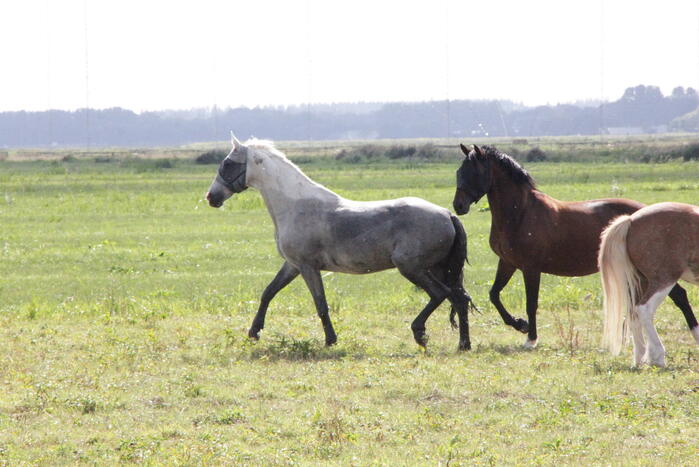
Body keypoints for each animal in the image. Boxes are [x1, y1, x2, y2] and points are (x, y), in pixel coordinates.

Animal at [206, 133, 475, 350]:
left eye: (227, 163)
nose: (211, 197)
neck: (295, 206)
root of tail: (447, 214)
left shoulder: (307, 267)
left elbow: (321, 304)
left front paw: (330, 340)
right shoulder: (292, 265)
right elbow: (268, 293)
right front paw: (254, 332)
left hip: (412, 267)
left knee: (440, 295)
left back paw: (420, 333)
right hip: (438, 268)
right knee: (459, 299)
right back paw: (463, 344)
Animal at [452, 144, 698, 348]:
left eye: (474, 172)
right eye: (459, 172)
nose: (458, 205)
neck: (520, 213)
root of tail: (642, 213)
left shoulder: (531, 268)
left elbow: (531, 303)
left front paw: (531, 338)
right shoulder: (508, 263)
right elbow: (494, 294)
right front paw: (519, 324)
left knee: (677, 296)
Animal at [600, 202, 699, 366]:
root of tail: (631, 220)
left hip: (642, 282)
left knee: (633, 314)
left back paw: (639, 357)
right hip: (664, 279)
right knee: (644, 309)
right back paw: (657, 356)